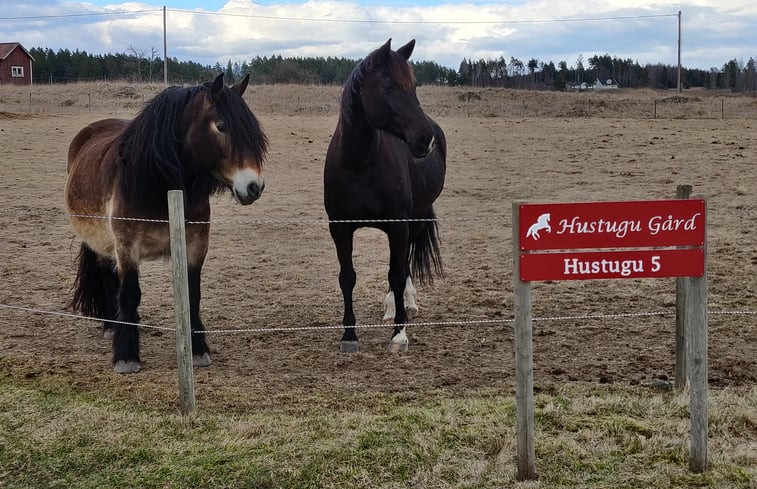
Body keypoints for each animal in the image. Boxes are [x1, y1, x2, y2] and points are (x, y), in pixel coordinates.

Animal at [64, 72, 268, 372]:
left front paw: (197, 349)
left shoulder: (195, 244)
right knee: (107, 275)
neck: (158, 185)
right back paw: (112, 326)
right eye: (221, 126)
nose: (254, 187)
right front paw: (127, 355)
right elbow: (130, 294)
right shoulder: (126, 247)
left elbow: (192, 294)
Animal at [324, 38, 442, 350]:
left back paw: (406, 305)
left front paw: (399, 334)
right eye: (389, 86)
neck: (358, 165)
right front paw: (349, 335)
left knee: (405, 262)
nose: (426, 138)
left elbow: (397, 274)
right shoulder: (340, 228)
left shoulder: (398, 226)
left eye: (414, 86)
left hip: (415, 220)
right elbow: (347, 277)